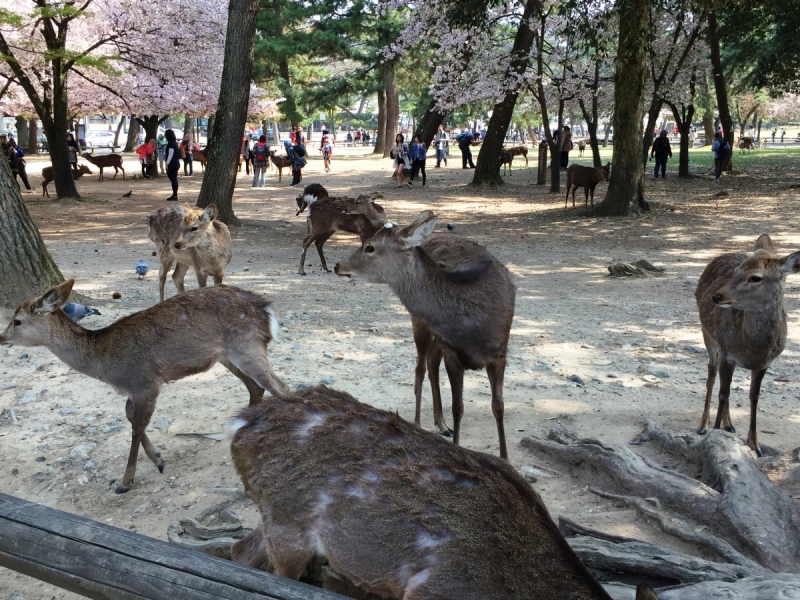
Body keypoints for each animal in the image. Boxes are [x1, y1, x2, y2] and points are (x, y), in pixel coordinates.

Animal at [0, 280, 288, 492]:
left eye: (17, 321)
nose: (1, 338)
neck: (105, 364)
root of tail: (268, 311)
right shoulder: (132, 390)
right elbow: (130, 417)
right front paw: (158, 460)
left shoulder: (145, 382)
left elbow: (137, 427)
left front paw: (126, 481)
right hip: (227, 356)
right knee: (257, 388)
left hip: (246, 346)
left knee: (280, 387)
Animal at [334, 212, 516, 460]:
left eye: (369, 247)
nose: (338, 265)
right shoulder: (452, 353)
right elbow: (458, 407)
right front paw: (457, 448)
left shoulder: (499, 353)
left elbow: (498, 406)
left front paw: (505, 458)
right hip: (420, 322)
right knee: (421, 366)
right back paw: (421, 422)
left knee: (430, 362)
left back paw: (442, 424)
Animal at [692, 233, 800, 454]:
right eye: (736, 272)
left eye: (756, 277)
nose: (716, 295)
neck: (754, 348)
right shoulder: (726, 353)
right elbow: (723, 393)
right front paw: (715, 436)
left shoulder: (764, 364)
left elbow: (754, 396)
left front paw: (755, 445)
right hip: (708, 335)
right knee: (711, 375)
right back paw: (704, 424)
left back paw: (729, 424)